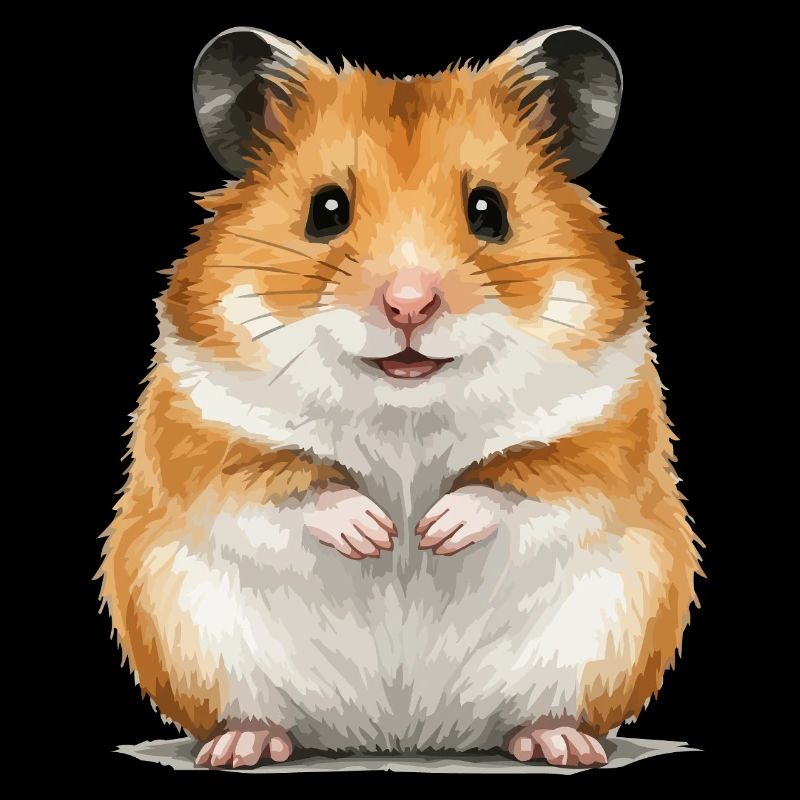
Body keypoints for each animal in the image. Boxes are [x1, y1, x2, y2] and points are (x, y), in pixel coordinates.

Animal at [98, 25, 701, 769]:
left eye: (489, 210)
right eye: (326, 209)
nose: (408, 305)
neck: (405, 408)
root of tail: (402, 735)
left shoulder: (601, 432)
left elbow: (524, 480)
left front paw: (432, 531)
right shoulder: (206, 428)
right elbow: (285, 481)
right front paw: (378, 534)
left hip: (607, 634)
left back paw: (561, 744)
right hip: (191, 637)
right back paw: (240, 748)